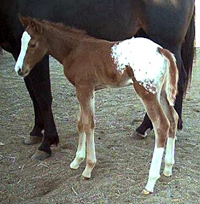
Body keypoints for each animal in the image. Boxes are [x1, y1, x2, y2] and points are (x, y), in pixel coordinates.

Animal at [0, 0, 195, 159]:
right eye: (24, 42)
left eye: (33, 44)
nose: (18, 69)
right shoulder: (18, 53)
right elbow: (33, 95)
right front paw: (35, 132)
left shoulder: (37, 58)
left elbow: (42, 97)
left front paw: (46, 143)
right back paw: (144, 128)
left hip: (167, 42)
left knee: (176, 81)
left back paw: (172, 127)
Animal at [14, 16, 179, 194]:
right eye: (22, 42)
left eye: (32, 44)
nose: (19, 69)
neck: (73, 50)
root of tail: (161, 50)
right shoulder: (86, 89)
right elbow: (81, 123)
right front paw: (76, 161)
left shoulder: (84, 87)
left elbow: (88, 124)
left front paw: (88, 168)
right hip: (162, 93)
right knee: (173, 119)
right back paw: (168, 168)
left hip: (147, 92)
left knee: (161, 125)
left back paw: (150, 182)